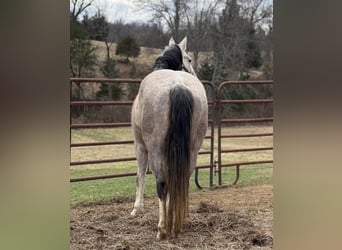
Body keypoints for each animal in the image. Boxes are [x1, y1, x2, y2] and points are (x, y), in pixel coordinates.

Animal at [130, 37, 207, 240]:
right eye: (189, 59)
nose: (194, 73)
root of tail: (177, 85)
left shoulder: (140, 146)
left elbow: (140, 175)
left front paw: (136, 209)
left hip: (155, 150)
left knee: (162, 184)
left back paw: (162, 229)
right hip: (192, 150)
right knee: (181, 179)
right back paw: (176, 224)